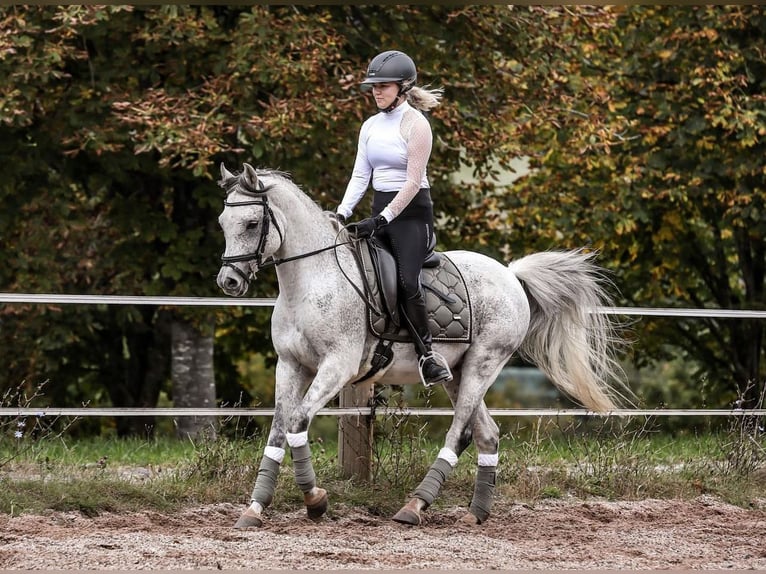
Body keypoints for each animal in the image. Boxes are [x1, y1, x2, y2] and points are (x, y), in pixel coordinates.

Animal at [215, 162, 631, 528]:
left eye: (252, 223)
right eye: (223, 223)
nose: (229, 282)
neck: (313, 280)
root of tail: (511, 274)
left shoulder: (337, 366)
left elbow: (297, 421)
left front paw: (315, 501)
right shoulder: (290, 365)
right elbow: (278, 430)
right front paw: (254, 509)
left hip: (484, 363)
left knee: (460, 432)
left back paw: (414, 506)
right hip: (457, 373)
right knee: (487, 435)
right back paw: (475, 513)